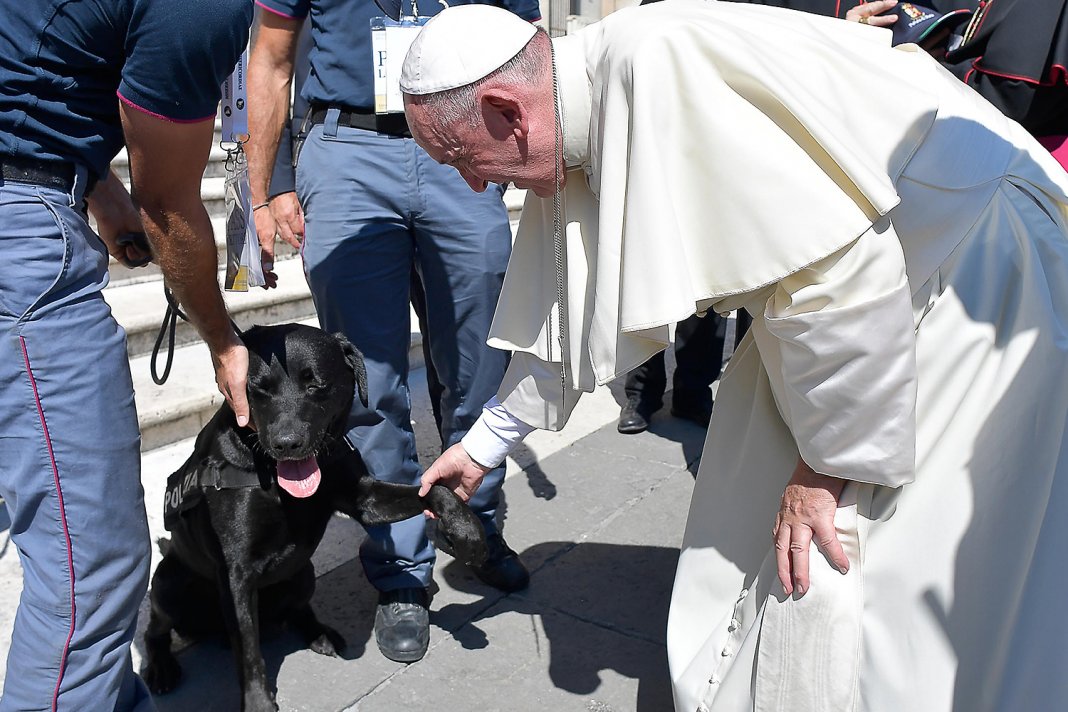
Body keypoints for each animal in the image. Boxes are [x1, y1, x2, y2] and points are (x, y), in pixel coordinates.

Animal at [140, 326, 484, 708]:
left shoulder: (365, 498)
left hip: (303, 571)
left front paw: (467, 531)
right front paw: (258, 702)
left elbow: (435, 491)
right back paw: (161, 668)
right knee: (155, 630)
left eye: (316, 385)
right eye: (258, 388)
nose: (286, 443)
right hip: (168, 586)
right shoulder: (235, 574)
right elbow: (248, 651)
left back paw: (320, 634)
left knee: (298, 610)